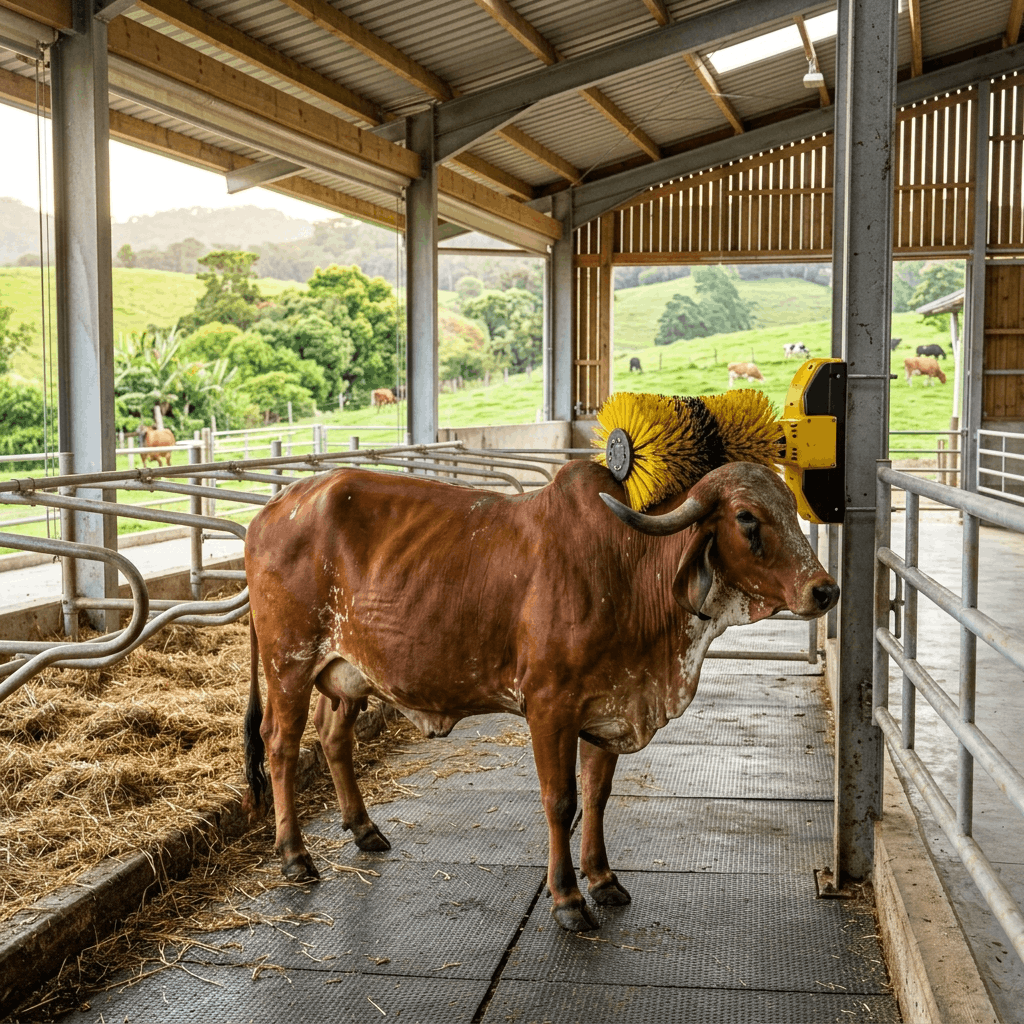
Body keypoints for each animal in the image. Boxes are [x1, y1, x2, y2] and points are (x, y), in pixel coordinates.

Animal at [242, 459, 839, 932]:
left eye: (792, 508)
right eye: (747, 517)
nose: (825, 590)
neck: (628, 569)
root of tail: (276, 505)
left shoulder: (607, 709)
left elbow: (596, 796)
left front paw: (603, 878)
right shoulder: (550, 709)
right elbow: (561, 801)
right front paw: (568, 898)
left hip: (345, 674)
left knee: (332, 736)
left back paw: (364, 828)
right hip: (289, 663)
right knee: (280, 745)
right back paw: (294, 855)